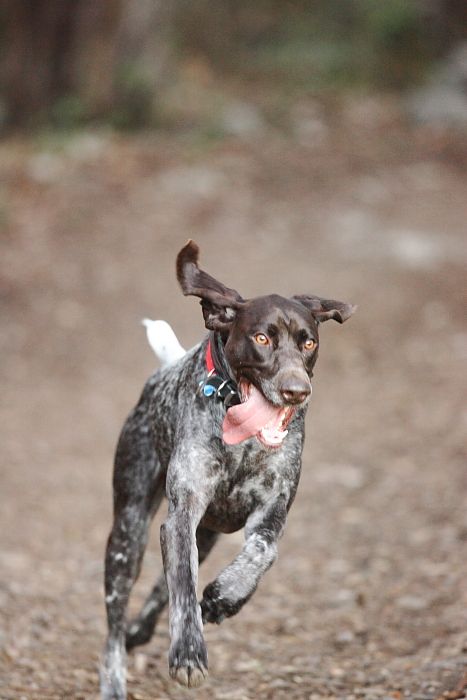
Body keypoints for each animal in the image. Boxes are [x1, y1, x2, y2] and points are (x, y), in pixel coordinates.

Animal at [98, 242, 354, 700]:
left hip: (207, 534)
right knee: (116, 622)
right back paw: (114, 678)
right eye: (261, 338)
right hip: (128, 533)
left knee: (161, 589)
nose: (297, 390)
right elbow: (184, 586)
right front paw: (187, 654)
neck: (244, 443)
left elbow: (262, 553)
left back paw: (148, 627)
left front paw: (224, 597)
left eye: (308, 342)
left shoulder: (271, 514)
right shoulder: (181, 516)